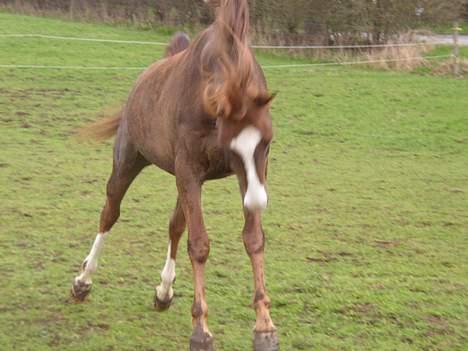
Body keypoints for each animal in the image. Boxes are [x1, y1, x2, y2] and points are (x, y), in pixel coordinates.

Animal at [70, 1, 278, 350]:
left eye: (266, 142)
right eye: (231, 144)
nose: (259, 201)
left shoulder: (244, 173)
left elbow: (253, 239)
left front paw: (264, 327)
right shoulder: (190, 172)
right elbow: (200, 244)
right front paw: (201, 330)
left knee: (175, 226)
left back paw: (164, 292)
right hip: (129, 162)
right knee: (110, 213)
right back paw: (82, 281)